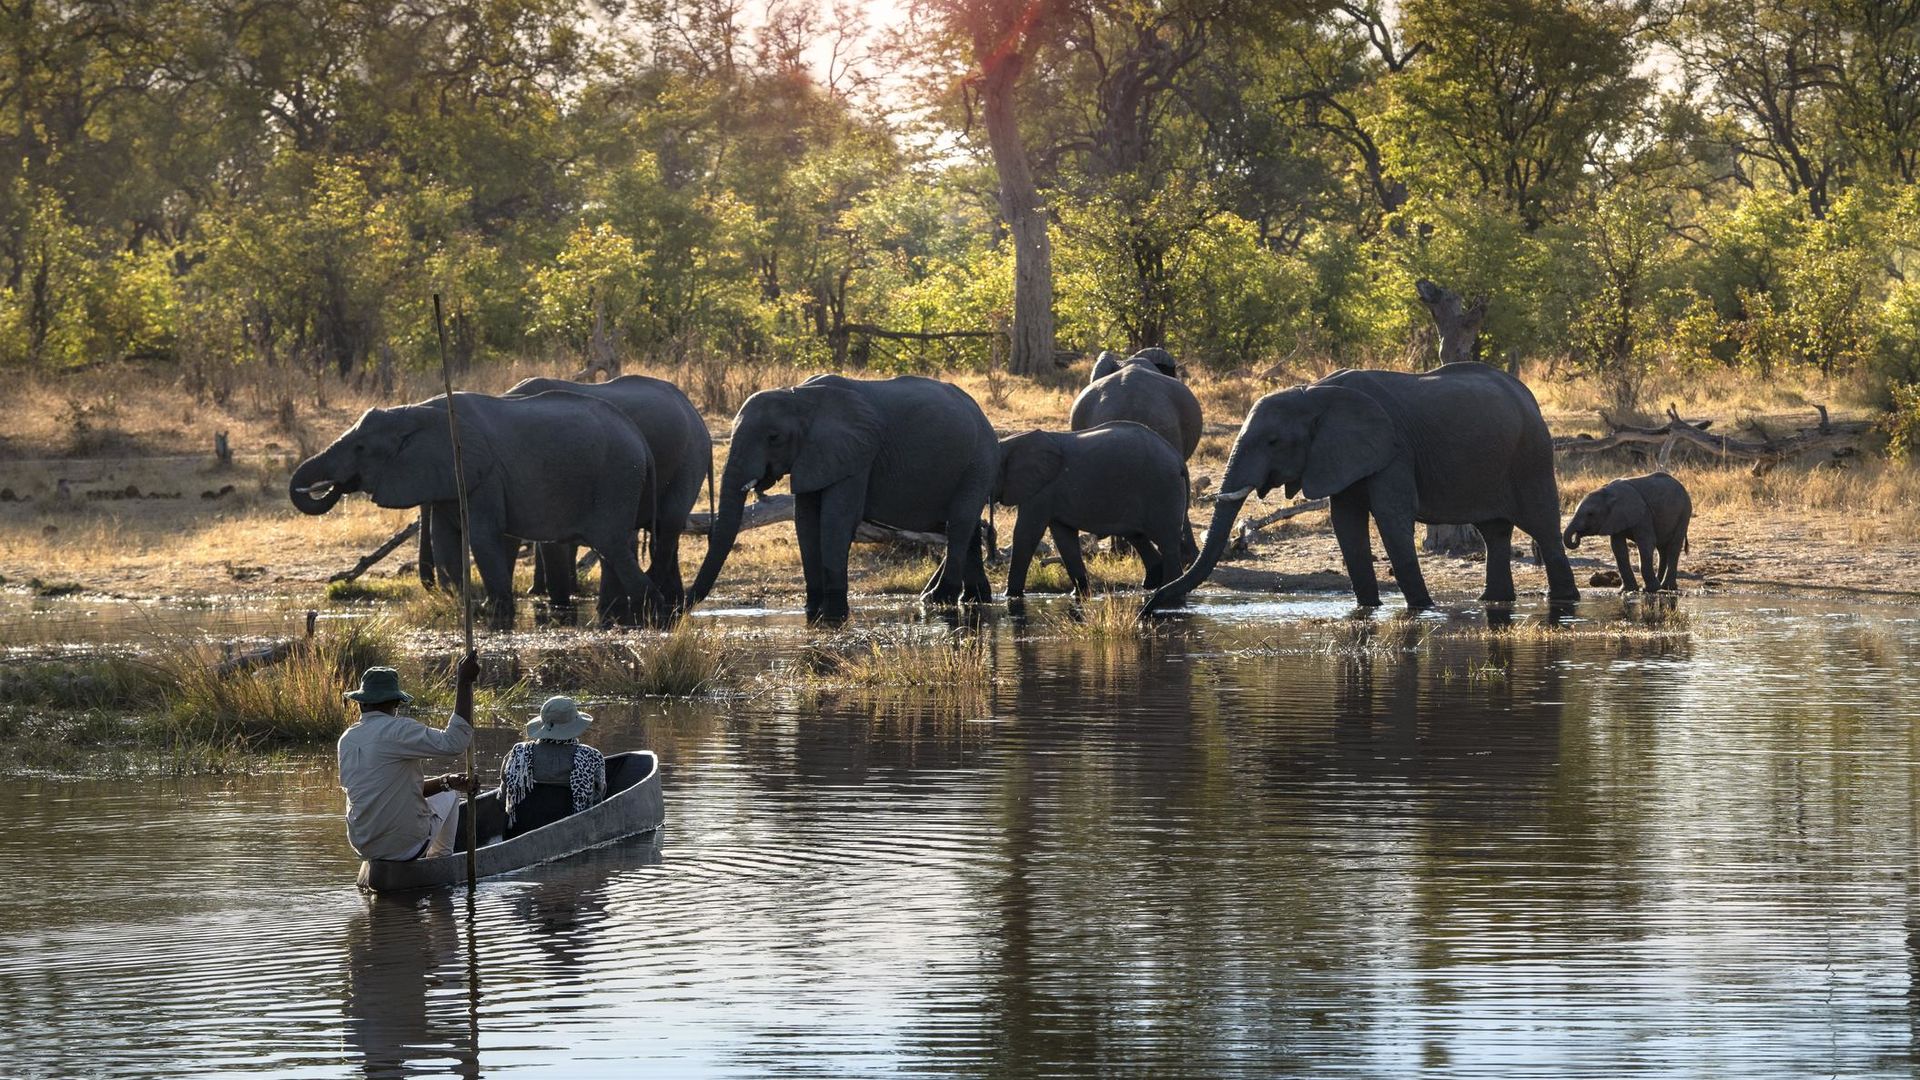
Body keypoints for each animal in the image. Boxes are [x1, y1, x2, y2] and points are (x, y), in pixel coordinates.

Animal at [289, 390, 668, 626]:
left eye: (361, 448)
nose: (333, 485)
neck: (417, 411)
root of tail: (641, 441)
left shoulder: (483, 474)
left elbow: (482, 537)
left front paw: (492, 612)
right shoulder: (448, 479)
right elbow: (445, 539)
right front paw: (461, 604)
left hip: (616, 478)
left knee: (612, 546)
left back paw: (652, 612)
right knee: (615, 549)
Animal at [683, 374, 998, 622]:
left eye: (774, 437)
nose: (680, 605)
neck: (800, 396)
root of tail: (982, 414)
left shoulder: (856, 454)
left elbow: (836, 519)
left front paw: (833, 617)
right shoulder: (813, 456)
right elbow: (806, 522)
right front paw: (812, 613)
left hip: (978, 461)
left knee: (959, 524)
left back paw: (939, 599)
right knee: (964, 526)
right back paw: (971, 598)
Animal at [998, 418, 1190, 595]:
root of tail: (1177, 458)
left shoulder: (1041, 490)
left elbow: (1026, 533)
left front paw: (1011, 595)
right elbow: (1064, 538)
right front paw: (1080, 594)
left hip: (1161, 488)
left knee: (1166, 542)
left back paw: (1169, 589)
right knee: (1137, 536)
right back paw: (1153, 584)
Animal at [1144, 359, 1582, 611]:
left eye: (1272, 442)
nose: (1149, 608)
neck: (1314, 393)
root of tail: (1527, 395)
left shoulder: (1393, 450)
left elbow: (1390, 517)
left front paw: (1423, 610)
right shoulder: (1340, 456)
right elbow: (1346, 521)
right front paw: (1369, 609)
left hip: (1532, 455)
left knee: (1542, 526)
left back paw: (1564, 601)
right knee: (1495, 532)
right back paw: (1493, 601)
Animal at [1559, 468, 1697, 588]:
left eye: (1590, 514)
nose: (1577, 535)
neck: (1607, 492)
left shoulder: (1642, 514)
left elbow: (1646, 544)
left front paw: (1649, 590)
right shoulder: (1615, 518)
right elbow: (1618, 548)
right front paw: (1627, 590)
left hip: (1685, 512)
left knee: (1673, 546)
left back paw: (1667, 587)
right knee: (1661, 549)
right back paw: (1661, 585)